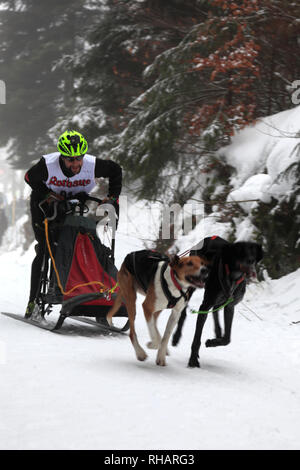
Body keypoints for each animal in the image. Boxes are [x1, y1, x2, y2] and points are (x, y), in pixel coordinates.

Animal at [172, 237, 264, 370]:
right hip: (191, 286)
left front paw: (212, 342)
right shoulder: (205, 306)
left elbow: (227, 339)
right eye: (242, 251)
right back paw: (176, 336)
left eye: (254, 253)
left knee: (215, 310)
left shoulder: (230, 307)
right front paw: (193, 360)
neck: (233, 277)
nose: (250, 261)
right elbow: (197, 339)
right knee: (183, 312)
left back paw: (218, 331)